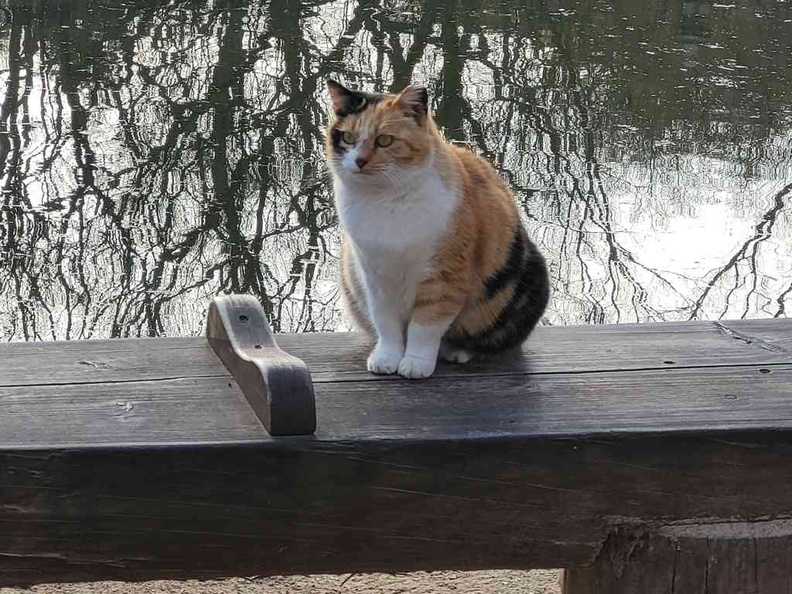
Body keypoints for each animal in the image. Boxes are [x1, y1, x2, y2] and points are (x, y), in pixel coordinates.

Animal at [324, 78, 548, 376]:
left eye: (385, 140)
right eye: (348, 138)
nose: (359, 161)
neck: (385, 202)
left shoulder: (444, 276)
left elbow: (426, 326)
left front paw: (415, 364)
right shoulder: (375, 277)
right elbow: (386, 324)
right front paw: (386, 359)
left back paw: (457, 352)